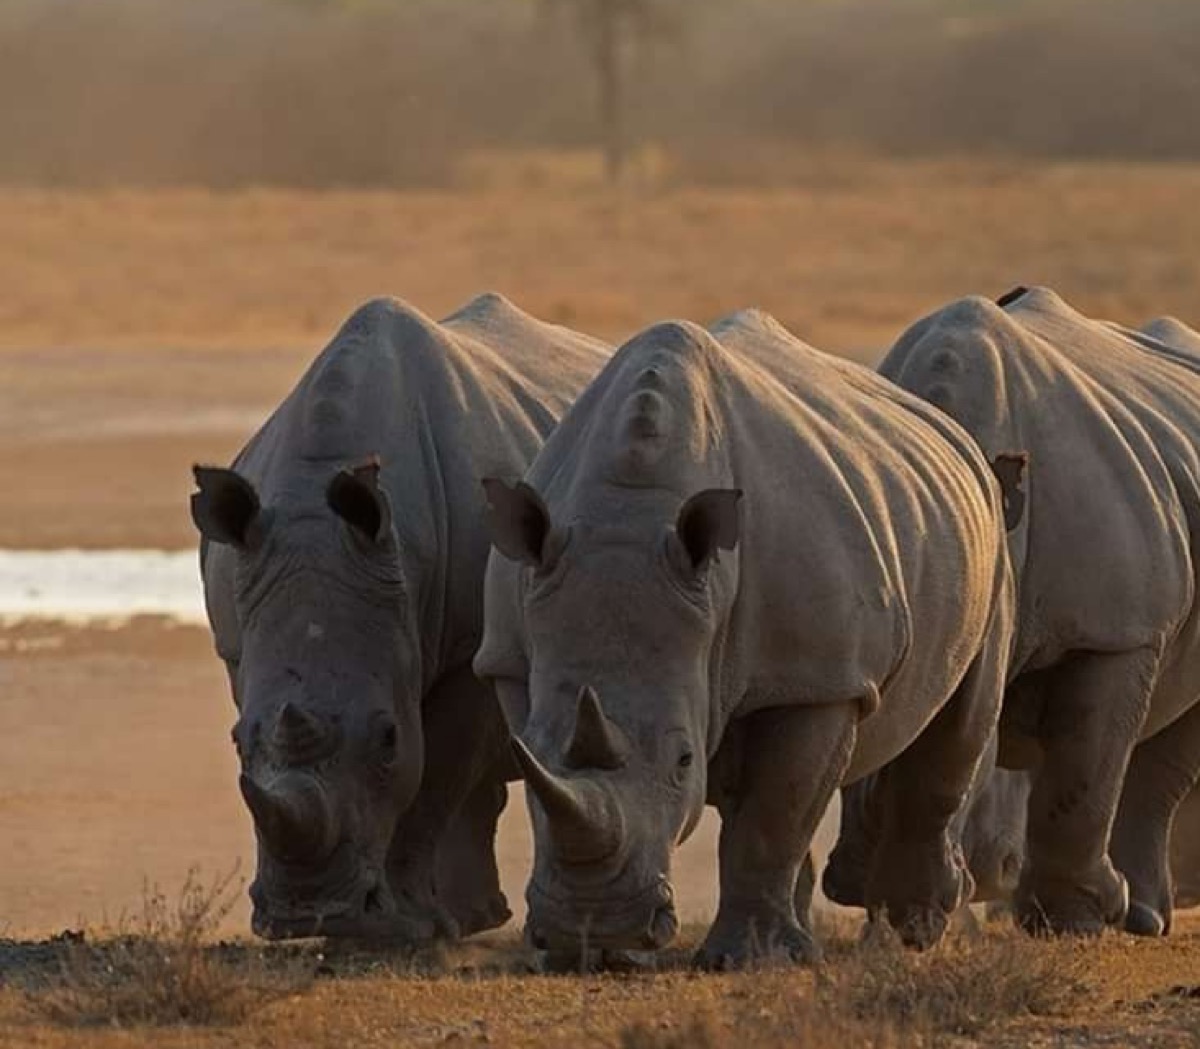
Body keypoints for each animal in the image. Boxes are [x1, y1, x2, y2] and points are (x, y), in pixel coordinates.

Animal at [191, 294, 608, 940]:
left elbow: (433, 774)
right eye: (236, 742)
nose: (305, 915)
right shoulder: (239, 646)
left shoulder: (469, 647)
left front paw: (404, 929)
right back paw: (473, 919)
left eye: (387, 737)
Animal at [474, 310, 1015, 966]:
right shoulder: (511, 655)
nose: (594, 933)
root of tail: (951, 433)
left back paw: (913, 931)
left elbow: (776, 811)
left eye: (684, 760)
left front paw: (748, 960)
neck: (629, 510)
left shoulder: (817, 676)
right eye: (526, 754)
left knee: (957, 725)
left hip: (988, 537)